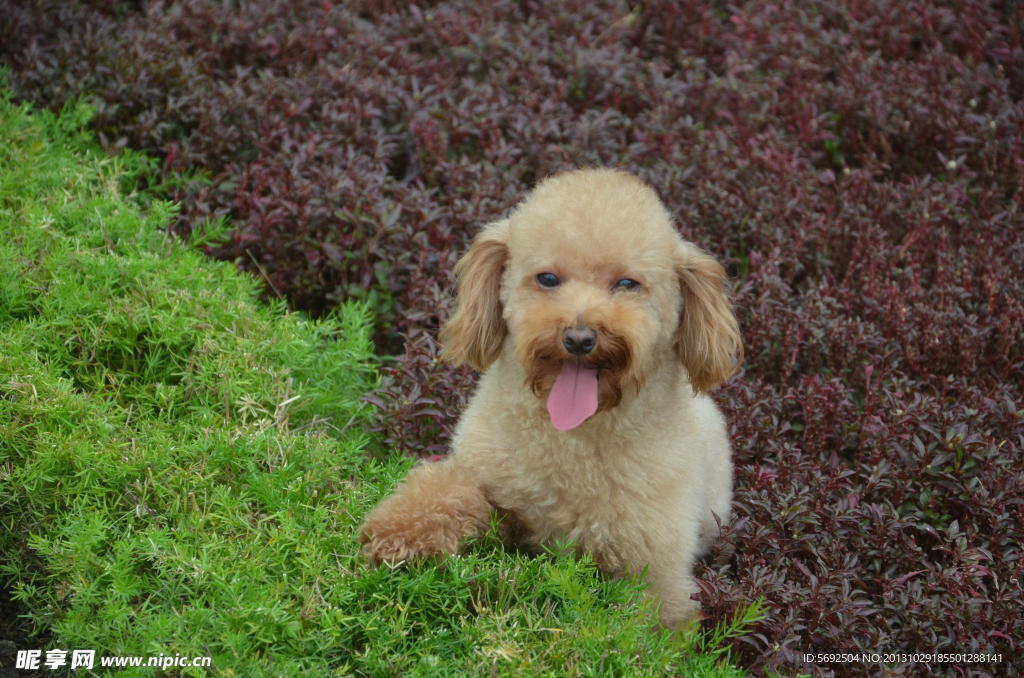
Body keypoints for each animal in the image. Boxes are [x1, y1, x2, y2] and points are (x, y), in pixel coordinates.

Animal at [362, 166, 745, 630]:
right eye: (547, 278)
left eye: (627, 284)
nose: (579, 338)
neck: (571, 439)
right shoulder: (491, 479)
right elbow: (446, 487)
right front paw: (399, 533)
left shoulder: (656, 568)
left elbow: (651, 625)